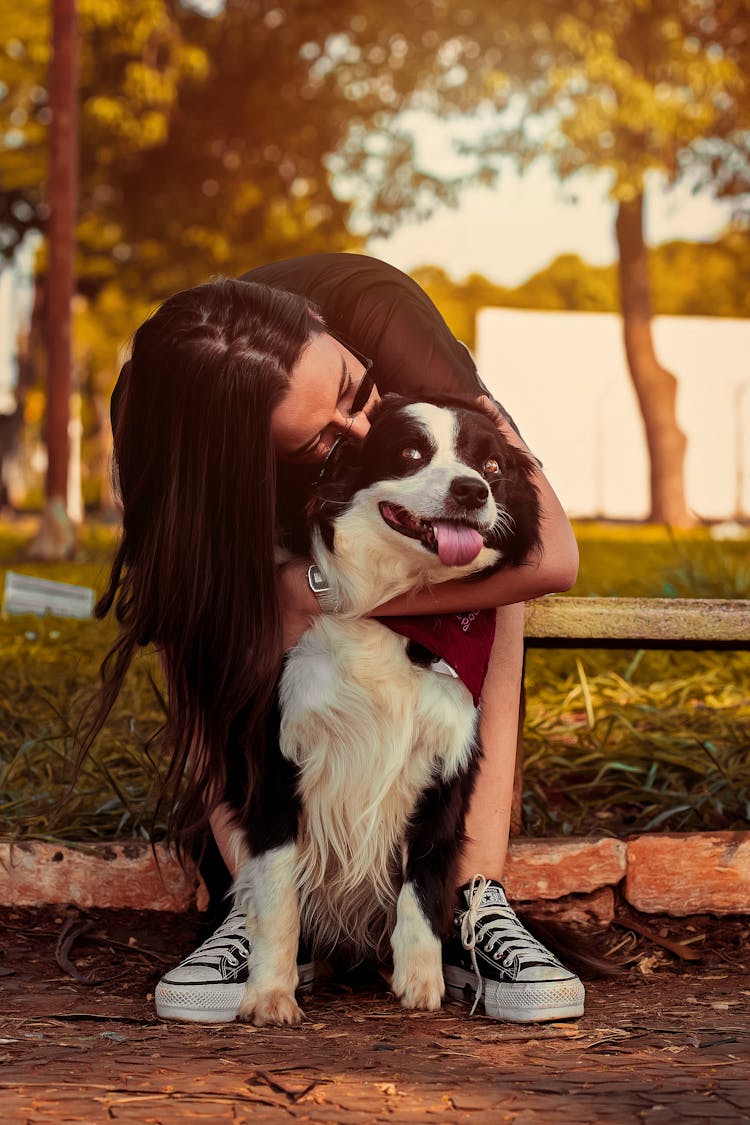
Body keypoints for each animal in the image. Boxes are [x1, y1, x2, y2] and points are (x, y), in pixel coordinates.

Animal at [229, 398, 539, 1030]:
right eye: (411, 453)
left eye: (492, 466)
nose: (472, 490)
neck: (399, 612)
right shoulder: (280, 763)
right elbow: (277, 893)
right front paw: (270, 992)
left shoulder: (442, 772)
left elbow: (421, 883)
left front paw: (420, 978)